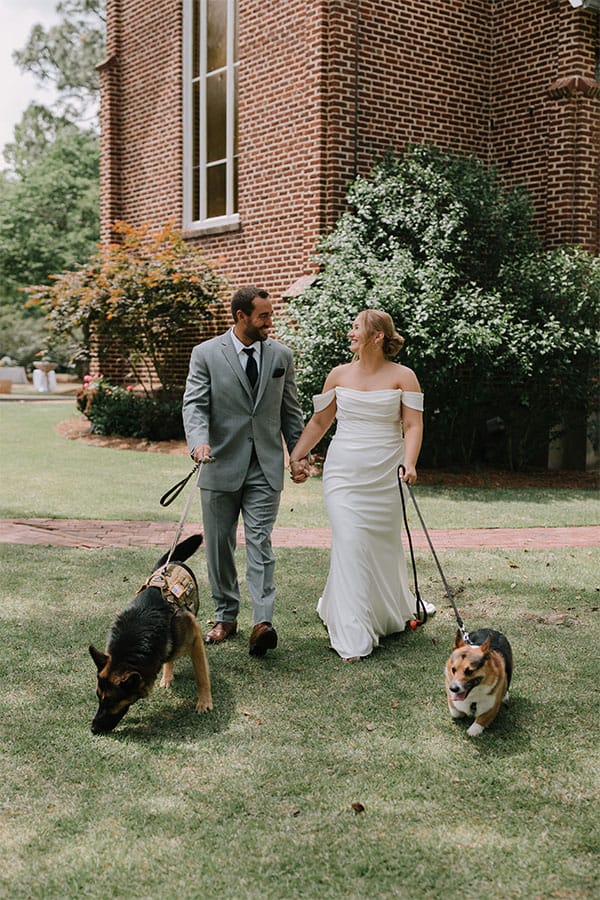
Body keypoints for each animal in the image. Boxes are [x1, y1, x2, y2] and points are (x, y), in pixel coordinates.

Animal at [88, 536, 212, 732]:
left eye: (111, 701)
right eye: (98, 696)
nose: (93, 729)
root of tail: (171, 563)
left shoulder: (195, 638)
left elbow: (201, 675)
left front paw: (205, 702)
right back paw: (167, 676)